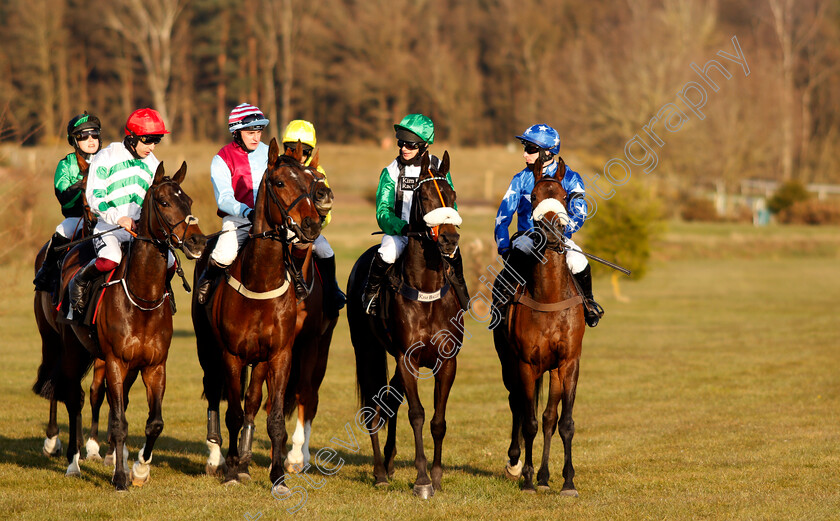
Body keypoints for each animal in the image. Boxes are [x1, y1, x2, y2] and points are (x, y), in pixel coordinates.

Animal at [34, 161, 208, 488]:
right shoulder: (115, 361)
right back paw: (73, 461)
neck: (142, 299)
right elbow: (117, 422)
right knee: (71, 396)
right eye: (164, 202)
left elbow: (154, 422)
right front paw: (119, 477)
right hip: (68, 348)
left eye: (189, 201)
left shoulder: (154, 366)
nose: (198, 241)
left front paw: (139, 468)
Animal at [192, 138, 324, 492]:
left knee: (252, 401)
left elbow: (272, 415)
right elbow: (233, 413)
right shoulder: (231, 354)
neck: (260, 282)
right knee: (214, 393)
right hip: (206, 348)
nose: (312, 224)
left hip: (261, 361)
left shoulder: (279, 354)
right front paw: (230, 470)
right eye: (279, 182)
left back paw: (246, 459)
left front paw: (277, 474)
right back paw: (219, 459)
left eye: (311, 183)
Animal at [348, 149, 466, 496]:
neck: (425, 290)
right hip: (367, 350)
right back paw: (379, 471)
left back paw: (388, 463)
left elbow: (438, 420)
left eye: (452, 195)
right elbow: (417, 414)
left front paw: (436, 475)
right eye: (424, 197)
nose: (450, 239)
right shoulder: (406, 358)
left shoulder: (447, 360)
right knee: (374, 405)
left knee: (390, 399)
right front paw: (422, 479)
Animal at [492, 156, 584, 494]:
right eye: (532, 197)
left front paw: (565, 480)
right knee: (517, 403)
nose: (553, 232)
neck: (549, 296)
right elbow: (529, 421)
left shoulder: (568, 362)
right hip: (508, 363)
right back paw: (516, 463)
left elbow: (562, 422)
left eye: (564, 197)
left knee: (547, 416)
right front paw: (529, 478)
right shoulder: (526, 363)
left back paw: (544, 475)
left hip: (552, 370)